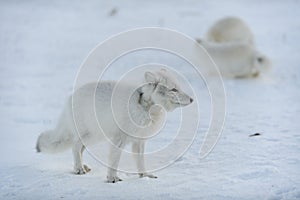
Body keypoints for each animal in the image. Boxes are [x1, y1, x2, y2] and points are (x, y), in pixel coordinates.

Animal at [36, 69, 193, 183]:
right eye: (174, 89)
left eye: (179, 88)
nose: (192, 99)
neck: (144, 108)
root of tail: (70, 97)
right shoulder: (119, 139)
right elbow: (114, 160)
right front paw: (112, 178)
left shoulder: (139, 141)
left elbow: (140, 162)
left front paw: (145, 176)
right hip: (92, 135)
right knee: (75, 146)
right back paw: (79, 168)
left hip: (95, 137)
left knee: (80, 148)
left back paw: (82, 167)